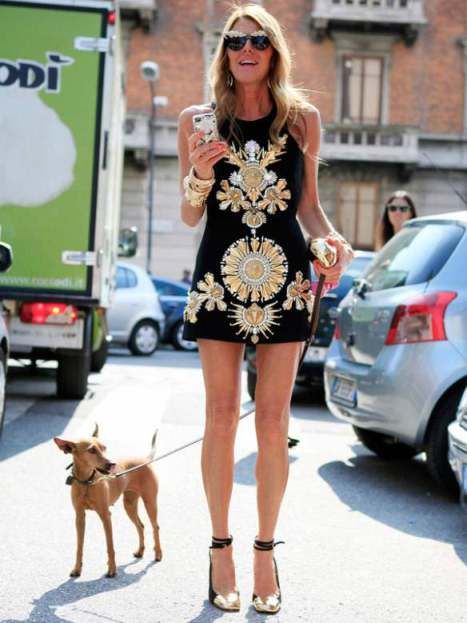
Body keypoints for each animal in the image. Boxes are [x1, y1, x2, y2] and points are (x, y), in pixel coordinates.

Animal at [53, 426, 161, 576]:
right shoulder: (79, 517)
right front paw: (77, 568)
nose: (111, 464)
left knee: (155, 527)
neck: (87, 482)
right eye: (92, 450)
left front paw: (112, 569)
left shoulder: (105, 516)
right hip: (129, 504)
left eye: (104, 448)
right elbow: (79, 546)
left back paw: (158, 554)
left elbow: (110, 545)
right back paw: (140, 551)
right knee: (141, 525)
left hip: (150, 502)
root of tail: (145, 459)